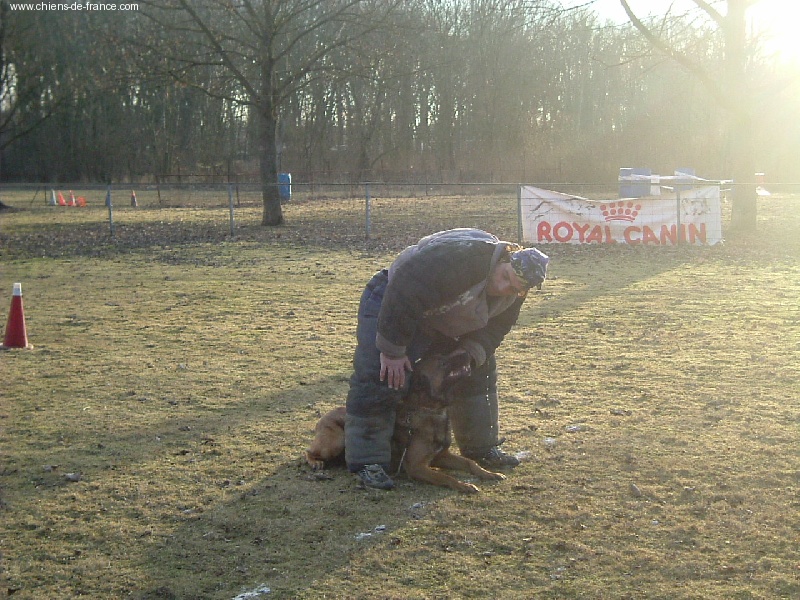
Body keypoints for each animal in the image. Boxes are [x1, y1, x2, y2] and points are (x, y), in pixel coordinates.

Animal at [304, 352, 504, 492]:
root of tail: (323, 417)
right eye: (442, 362)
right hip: (335, 442)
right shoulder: (416, 467)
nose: (468, 354)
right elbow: (445, 478)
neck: (430, 410)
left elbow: (471, 463)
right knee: (309, 451)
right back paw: (315, 463)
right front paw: (463, 485)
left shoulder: (441, 456)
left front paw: (489, 473)